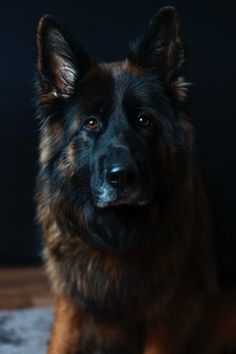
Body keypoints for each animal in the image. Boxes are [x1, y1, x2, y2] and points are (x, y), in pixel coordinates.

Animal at [35, 5, 236, 354]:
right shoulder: (72, 299)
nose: (122, 177)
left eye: (144, 121)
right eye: (91, 123)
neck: (116, 233)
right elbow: (59, 342)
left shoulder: (169, 308)